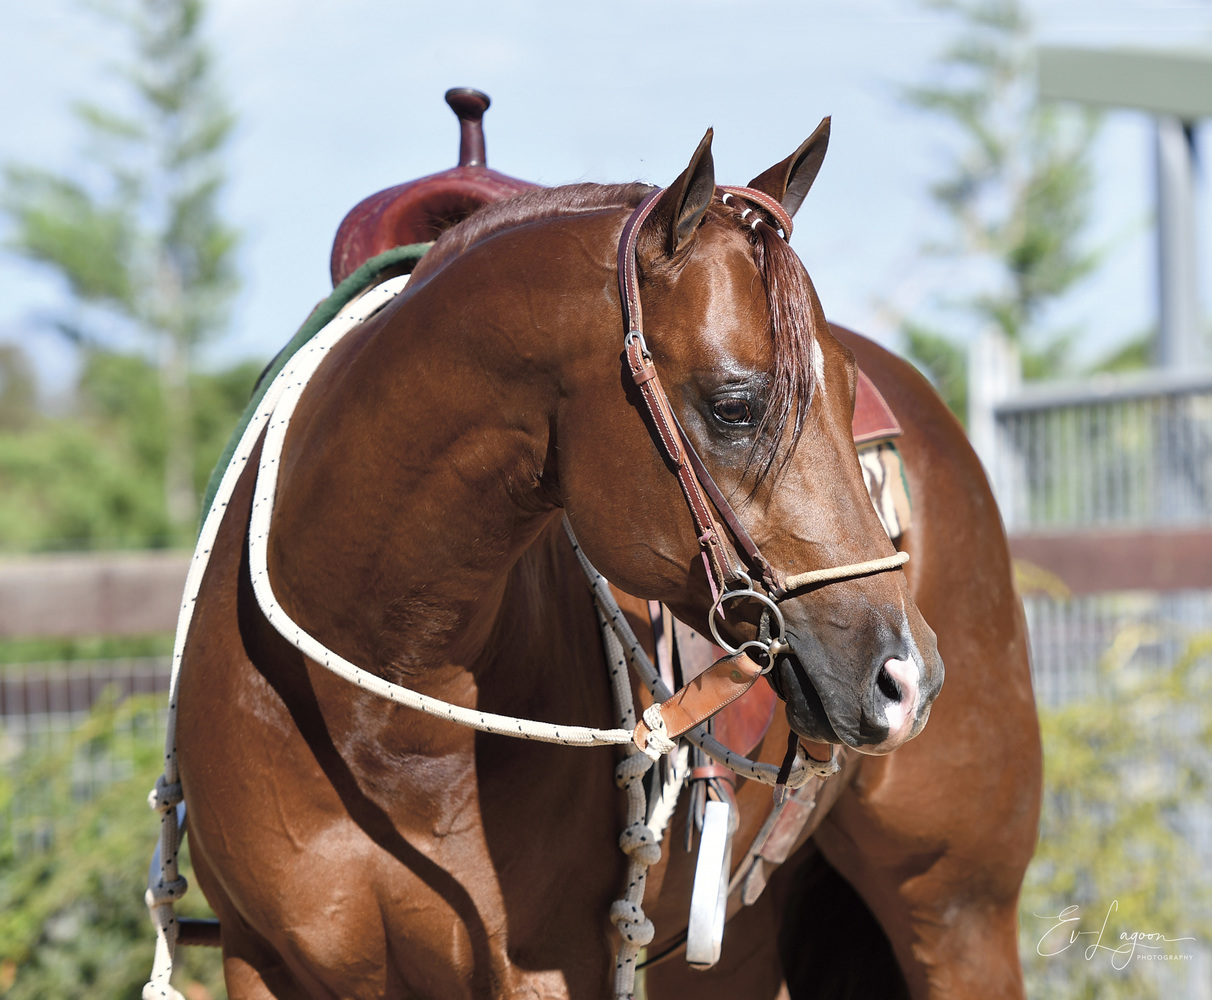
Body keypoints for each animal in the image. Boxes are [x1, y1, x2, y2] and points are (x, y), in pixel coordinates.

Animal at [162, 121, 1041, 999]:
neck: (378, 705)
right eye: (734, 406)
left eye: (847, 393)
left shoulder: (542, 973)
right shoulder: (263, 961)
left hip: (959, 913)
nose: (906, 677)